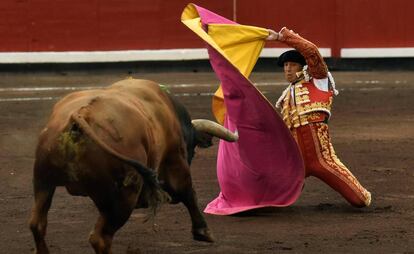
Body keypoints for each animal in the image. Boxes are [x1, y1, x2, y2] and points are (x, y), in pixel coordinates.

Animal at [28, 78, 236, 253]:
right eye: (191, 148)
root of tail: (81, 115)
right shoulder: (175, 162)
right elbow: (188, 192)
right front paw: (203, 232)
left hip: (43, 181)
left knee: (37, 224)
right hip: (124, 195)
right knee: (100, 238)